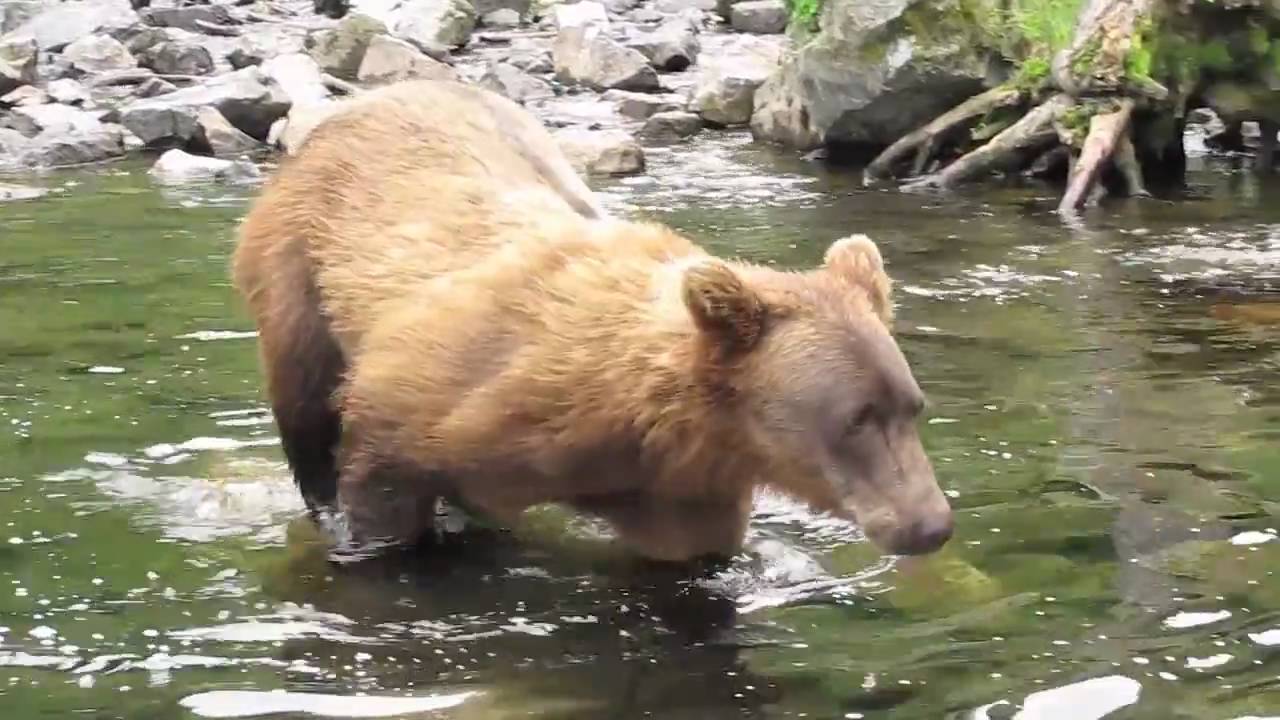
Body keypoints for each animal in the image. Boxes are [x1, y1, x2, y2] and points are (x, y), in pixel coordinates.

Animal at [231, 79, 953, 562]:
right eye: (857, 418)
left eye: (912, 406)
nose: (932, 525)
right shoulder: (436, 396)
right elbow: (379, 488)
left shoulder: (678, 488)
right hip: (296, 268)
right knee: (303, 400)